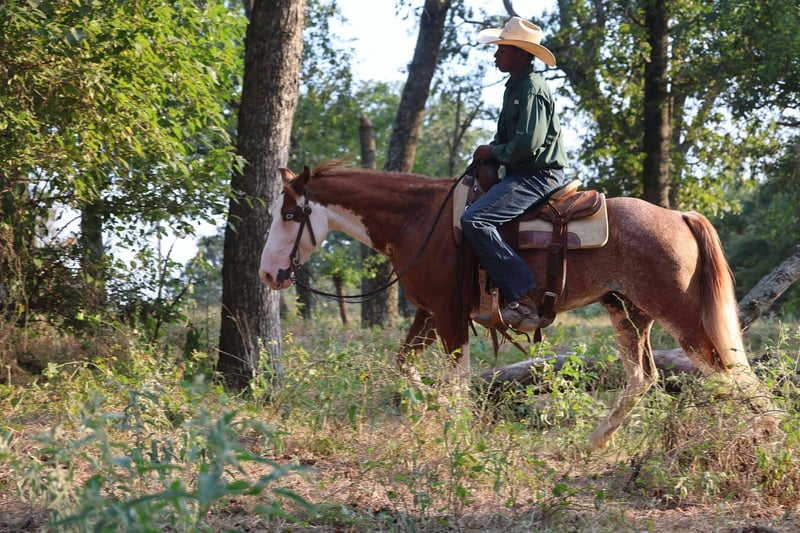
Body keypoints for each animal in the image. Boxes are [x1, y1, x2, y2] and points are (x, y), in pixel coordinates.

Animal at [259, 161, 769, 449]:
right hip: (626, 312)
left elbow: (458, 380)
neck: (420, 221)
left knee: (732, 371)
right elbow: (403, 366)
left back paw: (770, 434)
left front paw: (458, 434)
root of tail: (680, 216)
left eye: (290, 214)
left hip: (681, 317)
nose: (268, 273)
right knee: (644, 378)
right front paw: (432, 410)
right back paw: (591, 444)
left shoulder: (449, 317)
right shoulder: (428, 315)